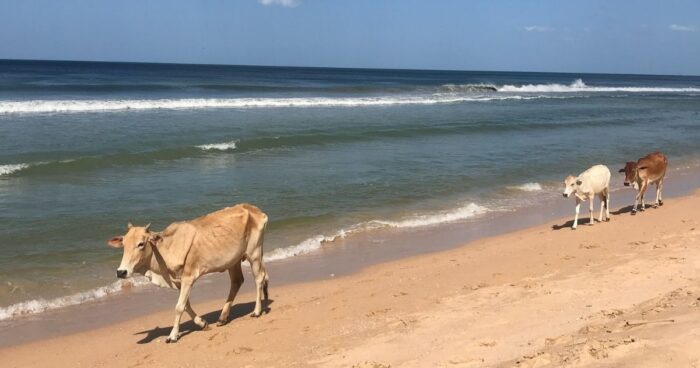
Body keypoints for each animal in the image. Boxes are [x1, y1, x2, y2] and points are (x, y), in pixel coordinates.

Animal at [108, 204, 270, 342]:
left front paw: (173, 335)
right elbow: (185, 305)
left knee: (259, 278)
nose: (121, 272)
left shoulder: (188, 277)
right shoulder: (179, 281)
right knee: (237, 281)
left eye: (141, 244)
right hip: (233, 261)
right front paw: (202, 323)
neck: (166, 249)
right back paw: (223, 318)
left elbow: (179, 306)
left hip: (254, 253)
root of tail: (253, 209)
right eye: (124, 244)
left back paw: (256, 311)